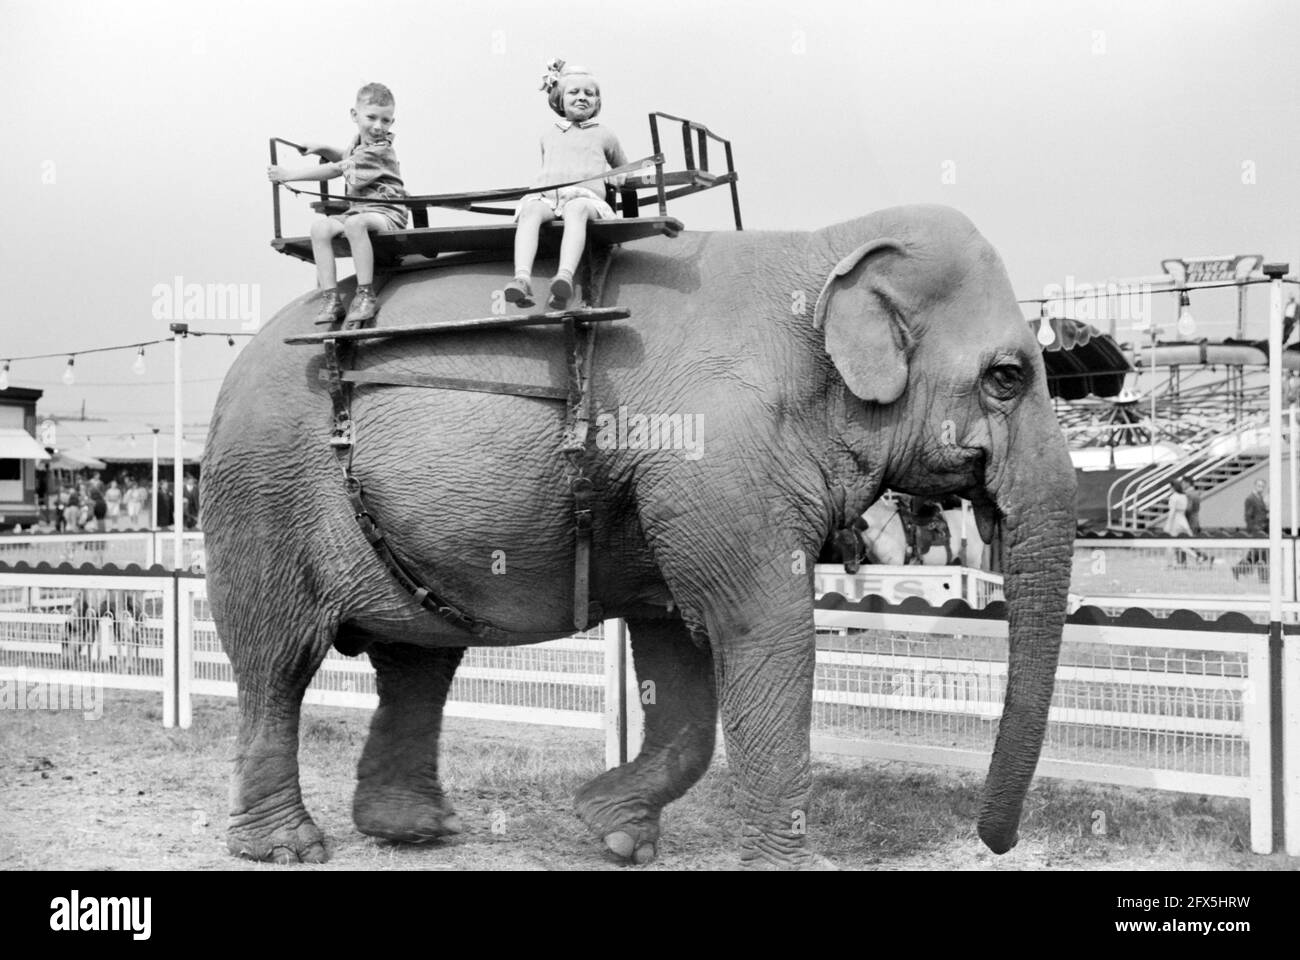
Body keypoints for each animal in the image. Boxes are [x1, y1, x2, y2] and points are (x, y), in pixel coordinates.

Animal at [202, 203, 1076, 868]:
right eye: (1008, 377)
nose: (992, 842)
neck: (823, 245)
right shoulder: (715, 453)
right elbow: (761, 627)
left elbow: (678, 644)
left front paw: (610, 829)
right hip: (262, 493)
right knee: (278, 661)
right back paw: (287, 847)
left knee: (417, 662)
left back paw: (416, 831)